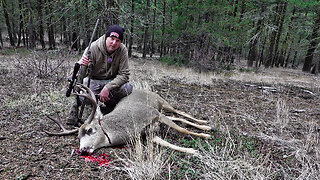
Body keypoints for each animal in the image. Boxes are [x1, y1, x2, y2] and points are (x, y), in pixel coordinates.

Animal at [44, 83, 212, 154]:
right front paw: (191, 150)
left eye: (90, 130)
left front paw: (204, 136)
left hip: (162, 104)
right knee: (177, 118)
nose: (83, 150)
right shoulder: (148, 133)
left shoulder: (153, 113)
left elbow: (183, 130)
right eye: (78, 138)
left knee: (180, 112)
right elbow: (164, 142)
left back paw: (206, 125)